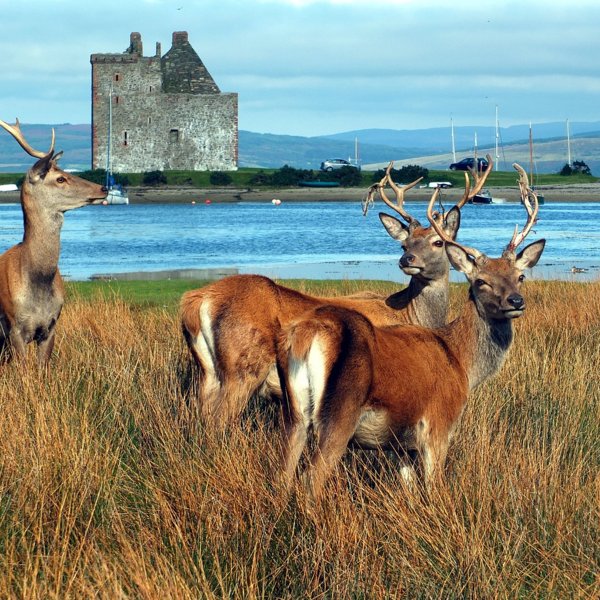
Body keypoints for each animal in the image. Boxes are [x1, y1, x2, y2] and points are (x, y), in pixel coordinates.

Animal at [179, 157, 492, 424]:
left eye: (438, 242)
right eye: (404, 244)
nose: (407, 260)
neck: (411, 314)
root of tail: (196, 300)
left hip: (208, 372)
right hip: (243, 366)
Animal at [274, 163, 548, 496]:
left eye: (520, 276)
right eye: (480, 281)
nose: (516, 301)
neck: (462, 363)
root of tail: (307, 335)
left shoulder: (402, 446)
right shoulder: (439, 424)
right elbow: (434, 487)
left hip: (294, 413)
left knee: (282, 476)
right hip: (339, 413)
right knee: (310, 480)